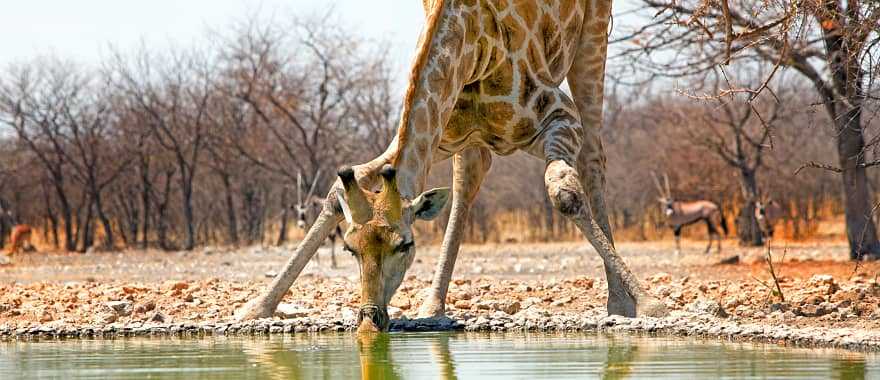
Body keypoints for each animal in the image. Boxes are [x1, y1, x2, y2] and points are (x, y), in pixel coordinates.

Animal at [237, 0, 664, 332]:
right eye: (349, 248)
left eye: (406, 245)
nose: (370, 319)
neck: (471, 46)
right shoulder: (438, 134)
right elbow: (340, 188)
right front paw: (255, 307)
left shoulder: (559, 116)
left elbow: (564, 192)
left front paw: (648, 303)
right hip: (470, 140)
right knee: (468, 180)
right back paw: (433, 304)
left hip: (593, 35)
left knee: (593, 157)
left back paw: (618, 302)